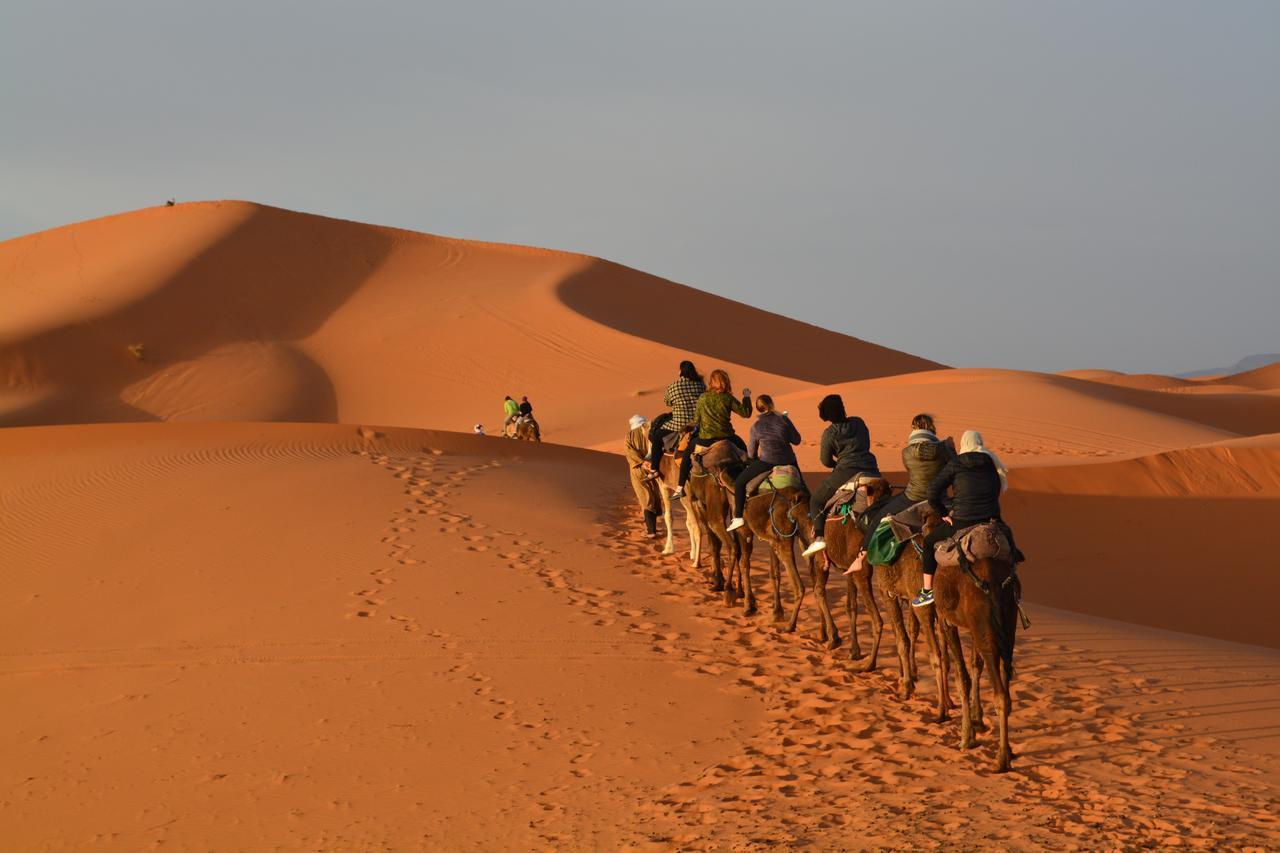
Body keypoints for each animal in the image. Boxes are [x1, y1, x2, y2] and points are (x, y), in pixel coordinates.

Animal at [926, 514, 1024, 768]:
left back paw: (1001, 759)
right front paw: (977, 721)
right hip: (1007, 625)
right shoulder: (974, 627)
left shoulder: (946, 621)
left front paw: (966, 737)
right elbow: (975, 666)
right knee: (1005, 685)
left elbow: (963, 677)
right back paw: (1009, 751)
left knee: (1000, 692)